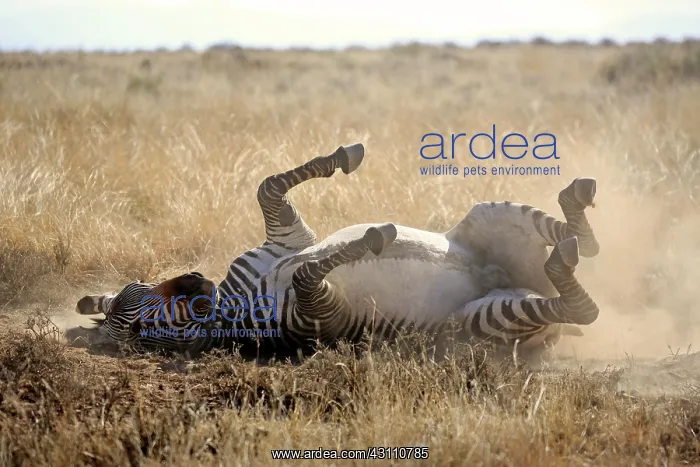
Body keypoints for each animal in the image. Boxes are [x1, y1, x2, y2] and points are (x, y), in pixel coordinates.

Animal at [72, 142, 600, 358]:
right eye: (138, 325)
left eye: (137, 287)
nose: (197, 279)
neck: (231, 304)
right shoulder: (322, 313)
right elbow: (308, 273)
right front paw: (372, 239)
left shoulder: (286, 240)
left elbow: (268, 187)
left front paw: (344, 157)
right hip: (479, 320)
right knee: (580, 307)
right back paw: (563, 259)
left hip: (489, 215)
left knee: (587, 248)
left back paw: (576, 209)